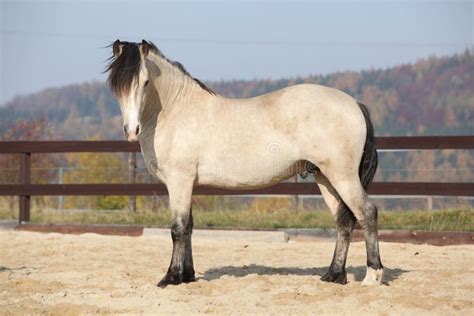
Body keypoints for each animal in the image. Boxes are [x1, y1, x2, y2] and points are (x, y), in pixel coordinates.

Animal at [105, 39, 384, 288]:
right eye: (116, 86)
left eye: (145, 82)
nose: (131, 130)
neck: (177, 110)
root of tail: (354, 104)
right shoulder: (187, 183)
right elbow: (190, 227)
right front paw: (187, 276)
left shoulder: (179, 181)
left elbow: (178, 228)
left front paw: (171, 277)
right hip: (325, 178)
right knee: (343, 221)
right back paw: (333, 275)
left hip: (342, 176)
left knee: (367, 213)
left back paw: (372, 276)